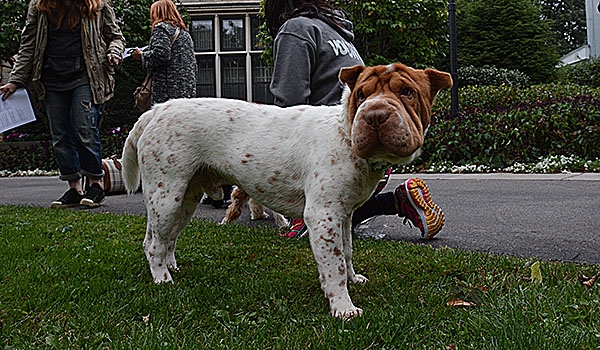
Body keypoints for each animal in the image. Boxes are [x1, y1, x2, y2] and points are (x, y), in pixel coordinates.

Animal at [122, 62, 450, 318]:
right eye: (362, 94)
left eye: (407, 92)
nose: (376, 114)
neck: (345, 133)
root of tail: (155, 111)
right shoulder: (322, 215)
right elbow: (334, 265)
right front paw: (343, 308)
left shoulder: (343, 214)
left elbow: (346, 252)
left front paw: (353, 278)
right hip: (167, 195)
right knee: (152, 242)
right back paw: (162, 279)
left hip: (185, 197)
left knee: (169, 238)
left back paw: (171, 268)